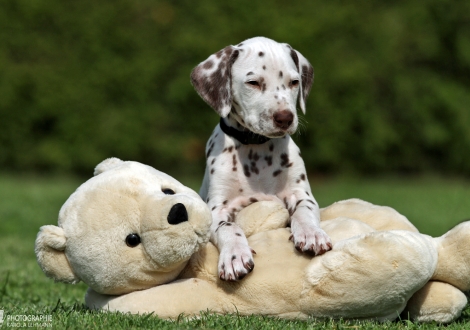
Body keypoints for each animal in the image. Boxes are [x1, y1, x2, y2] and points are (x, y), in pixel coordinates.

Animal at [190, 36, 330, 282]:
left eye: (294, 82)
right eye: (253, 83)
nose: (285, 118)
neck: (256, 148)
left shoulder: (301, 194)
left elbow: (304, 212)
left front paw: (312, 233)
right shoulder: (217, 209)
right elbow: (229, 227)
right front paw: (234, 255)